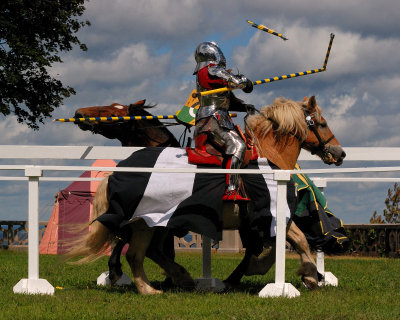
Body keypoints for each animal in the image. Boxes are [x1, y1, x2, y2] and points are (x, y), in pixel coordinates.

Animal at [67, 96, 346, 294]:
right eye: (322, 123)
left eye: (114, 111)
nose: (339, 152)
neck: (269, 157)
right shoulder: (271, 215)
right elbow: (298, 241)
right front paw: (309, 274)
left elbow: (282, 244)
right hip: (148, 223)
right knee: (138, 252)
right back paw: (157, 285)